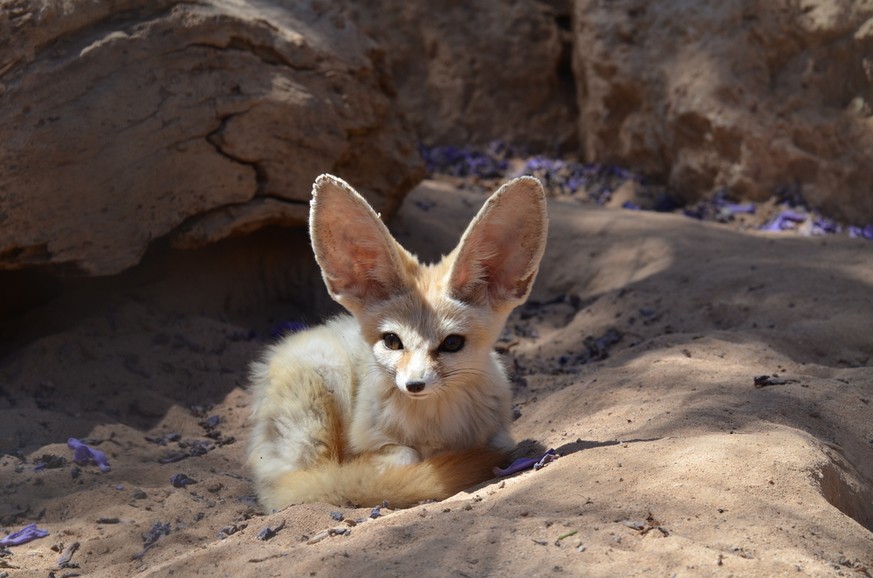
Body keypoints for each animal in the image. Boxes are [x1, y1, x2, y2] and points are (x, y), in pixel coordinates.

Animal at [247, 172, 544, 508]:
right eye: (392, 341)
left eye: (452, 343)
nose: (414, 385)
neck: (432, 425)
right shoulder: (372, 440)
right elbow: (401, 457)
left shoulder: (499, 434)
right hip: (324, 375)